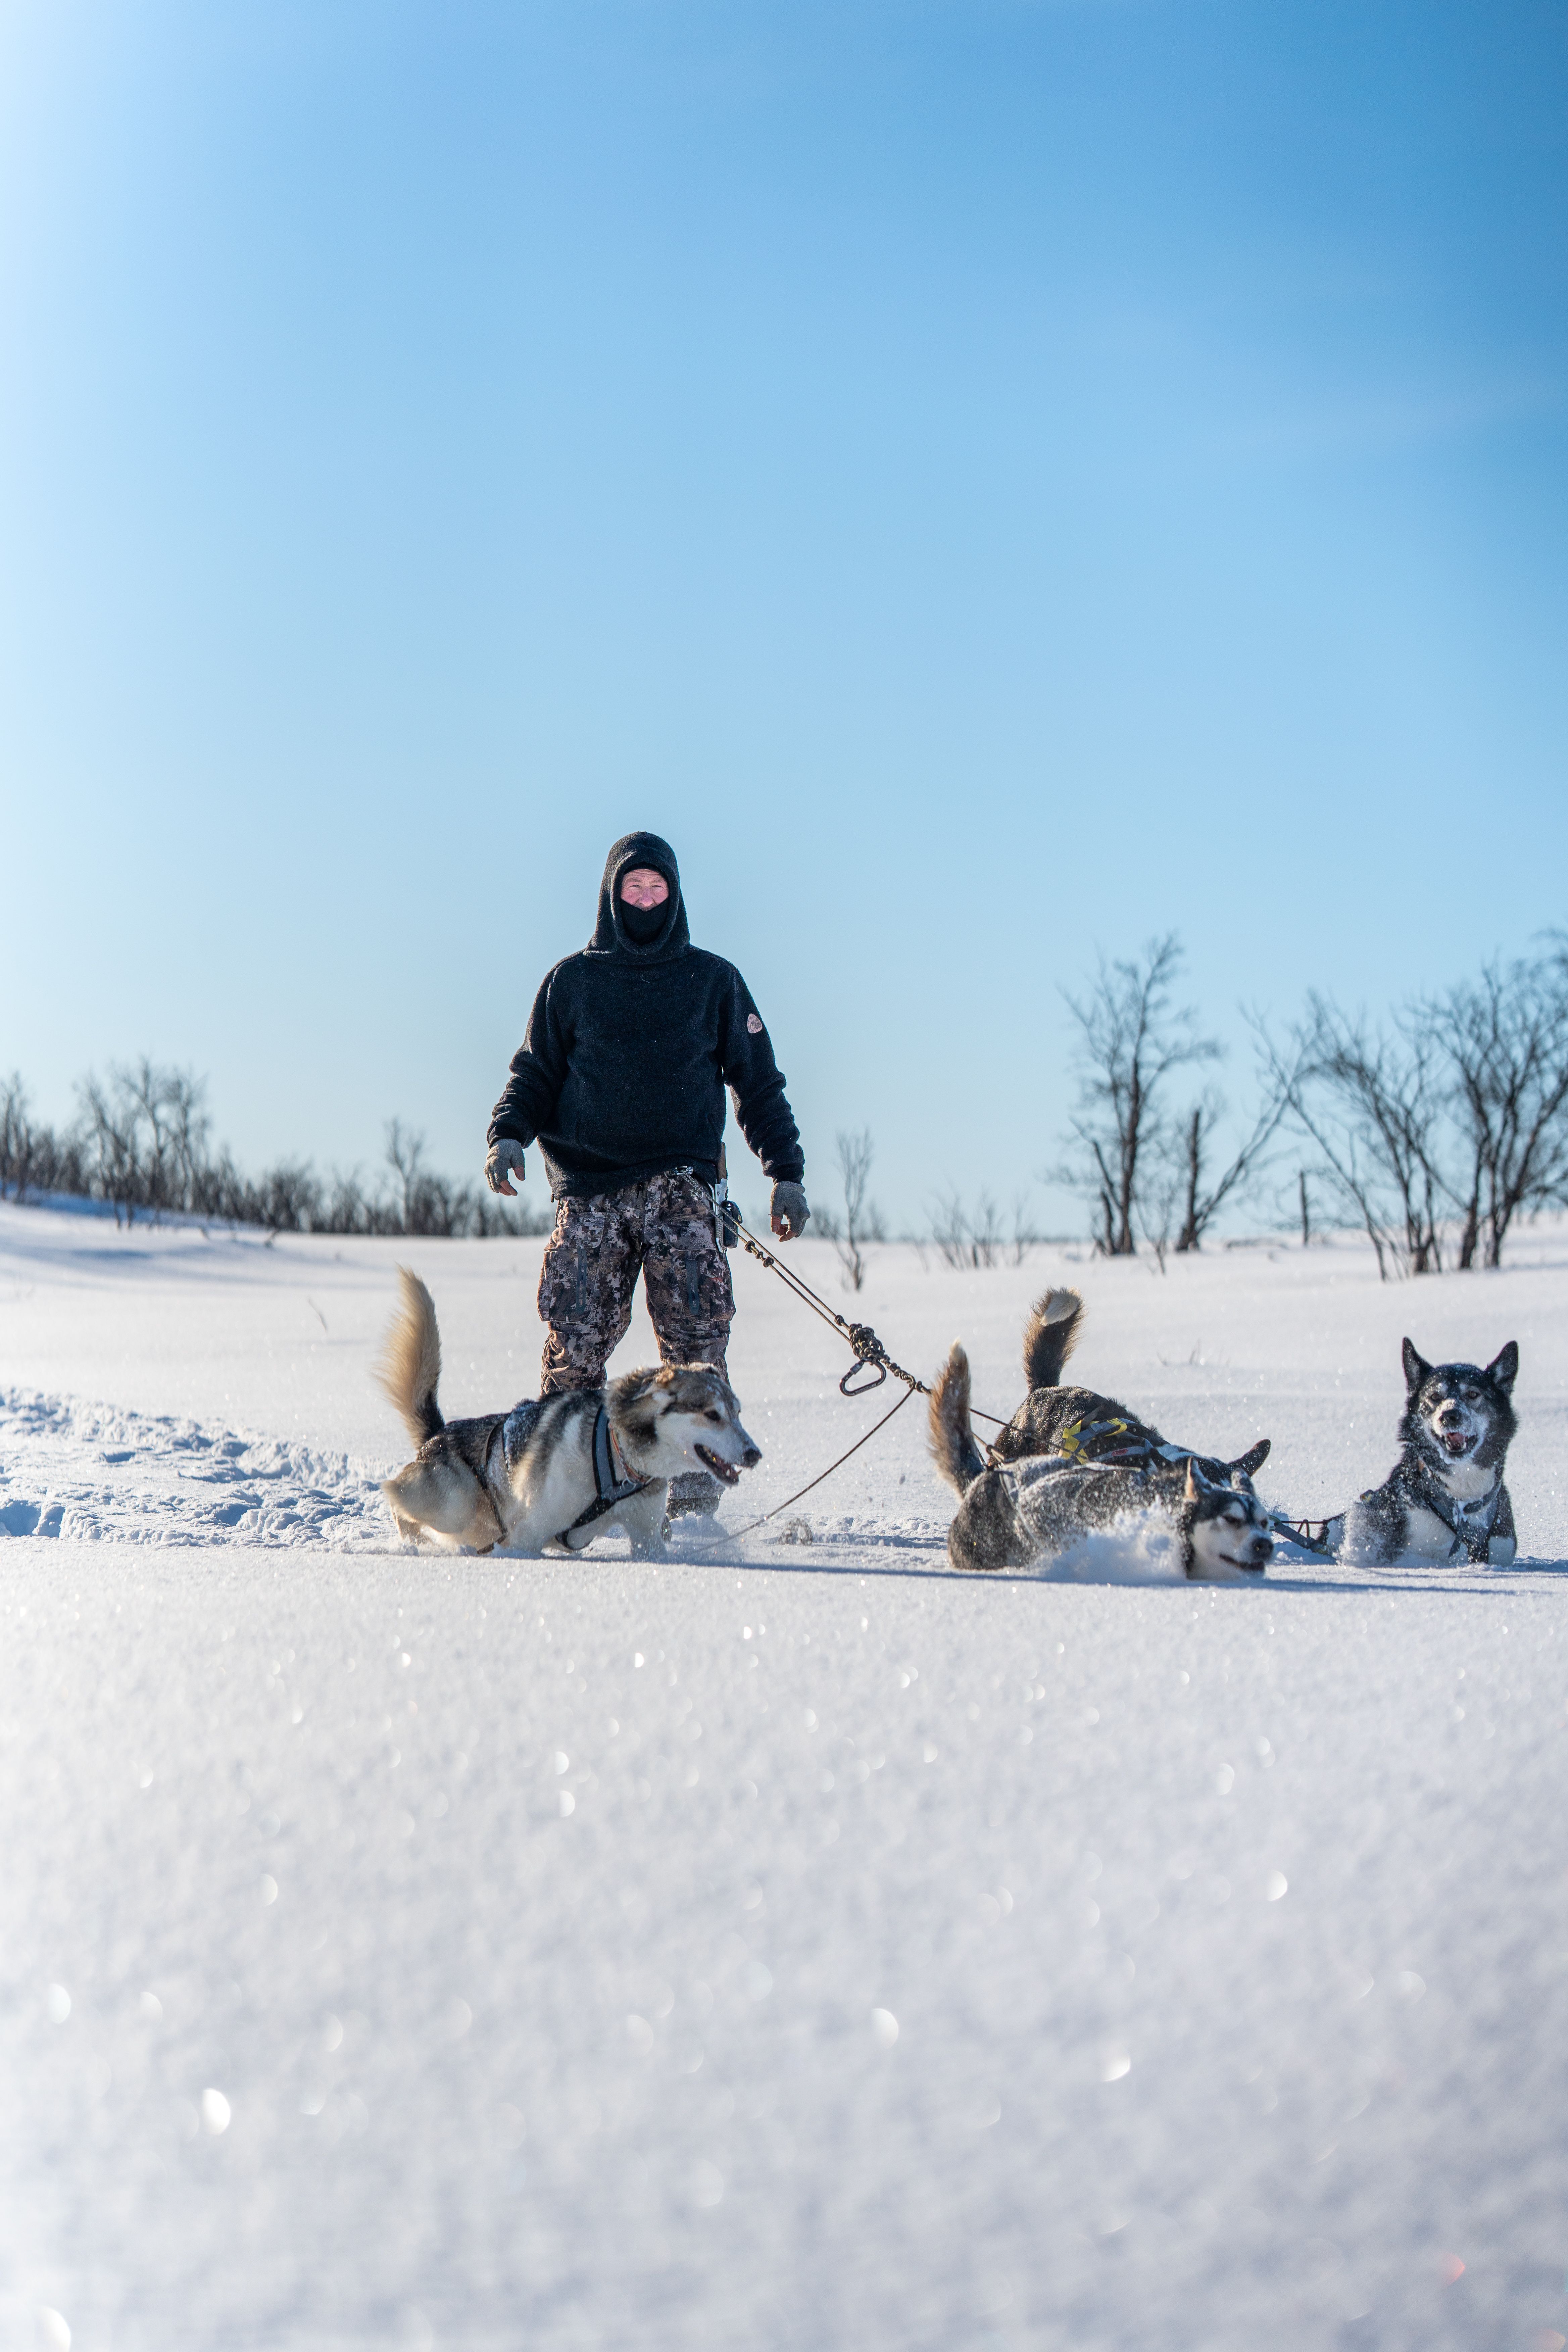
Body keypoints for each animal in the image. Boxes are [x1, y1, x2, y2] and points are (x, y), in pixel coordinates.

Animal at [374, 1270, 752, 1562]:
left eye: (737, 1413)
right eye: (712, 1415)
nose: (754, 1454)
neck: (616, 1459)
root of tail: (437, 1435)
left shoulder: (646, 1535)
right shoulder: (525, 1537)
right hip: (455, 1504)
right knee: (395, 1492)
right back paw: (412, 1542)